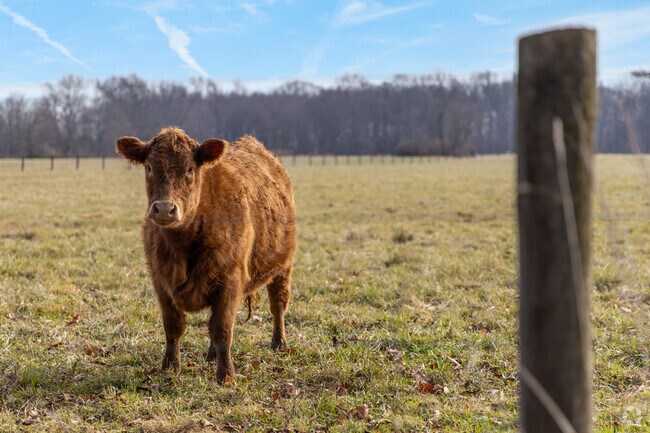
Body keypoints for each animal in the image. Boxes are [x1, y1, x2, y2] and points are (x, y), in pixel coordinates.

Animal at [115, 127, 297, 382]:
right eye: (149, 167)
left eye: (190, 169)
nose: (164, 209)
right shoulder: (160, 280)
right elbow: (173, 326)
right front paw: (170, 367)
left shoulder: (230, 278)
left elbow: (222, 328)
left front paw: (226, 375)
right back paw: (211, 355)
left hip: (283, 266)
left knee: (278, 304)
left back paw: (279, 343)